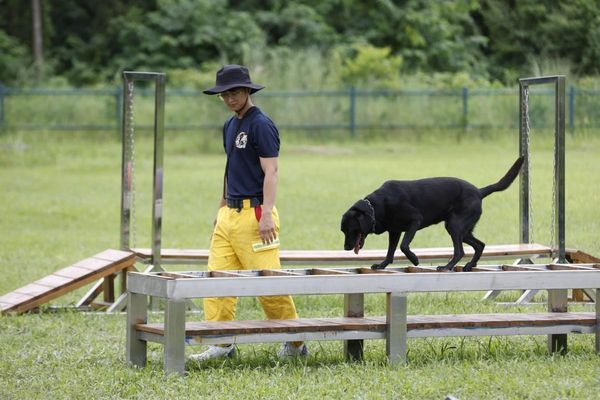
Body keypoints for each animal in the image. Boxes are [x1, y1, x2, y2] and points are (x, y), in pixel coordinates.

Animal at [342, 156, 524, 272]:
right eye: (343, 231)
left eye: (351, 230)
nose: (345, 248)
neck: (377, 205)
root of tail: (479, 192)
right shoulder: (394, 231)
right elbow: (390, 251)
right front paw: (382, 265)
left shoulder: (414, 221)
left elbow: (404, 245)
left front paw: (415, 259)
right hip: (463, 230)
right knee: (480, 245)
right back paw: (469, 266)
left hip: (454, 226)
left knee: (460, 251)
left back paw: (447, 267)